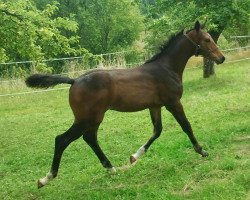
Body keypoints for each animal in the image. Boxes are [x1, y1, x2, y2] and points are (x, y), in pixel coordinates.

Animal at [25, 21, 225, 188]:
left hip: (94, 118)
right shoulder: (173, 103)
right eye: (207, 39)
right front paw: (202, 151)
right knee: (62, 139)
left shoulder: (155, 106)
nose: (221, 58)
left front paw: (134, 157)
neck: (166, 68)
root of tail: (74, 80)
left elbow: (157, 130)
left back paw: (111, 168)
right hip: (85, 118)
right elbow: (186, 126)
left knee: (90, 138)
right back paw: (45, 179)